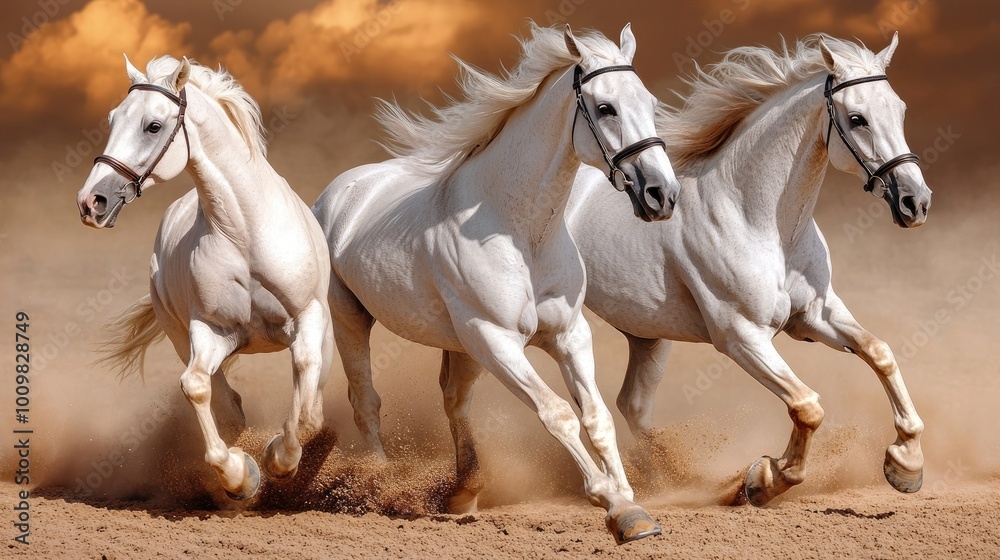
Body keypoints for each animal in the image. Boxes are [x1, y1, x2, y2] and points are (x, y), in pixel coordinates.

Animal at [76, 56, 334, 501]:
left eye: (153, 126)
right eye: (112, 120)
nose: (91, 201)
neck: (246, 234)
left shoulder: (307, 317)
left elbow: (306, 392)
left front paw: (279, 460)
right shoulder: (210, 330)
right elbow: (196, 387)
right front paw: (239, 474)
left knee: (312, 393)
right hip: (186, 338)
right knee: (226, 402)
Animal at [312, 24, 680, 543]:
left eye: (650, 102)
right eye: (606, 107)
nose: (662, 195)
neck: (522, 232)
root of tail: (338, 191)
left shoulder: (568, 335)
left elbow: (597, 417)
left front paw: (632, 509)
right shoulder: (497, 340)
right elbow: (558, 415)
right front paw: (611, 502)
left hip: (460, 345)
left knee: (454, 400)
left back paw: (464, 494)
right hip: (352, 318)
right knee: (366, 401)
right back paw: (377, 487)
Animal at [560, 33, 931, 506]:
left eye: (899, 109)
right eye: (857, 118)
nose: (916, 202)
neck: (758, 220)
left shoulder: (814, 316)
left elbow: (880, 354)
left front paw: (905, 464)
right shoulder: (741, 337)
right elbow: (807, 406)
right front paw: (764, 479)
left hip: (647, 335)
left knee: (634, 405)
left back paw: (674, 481)